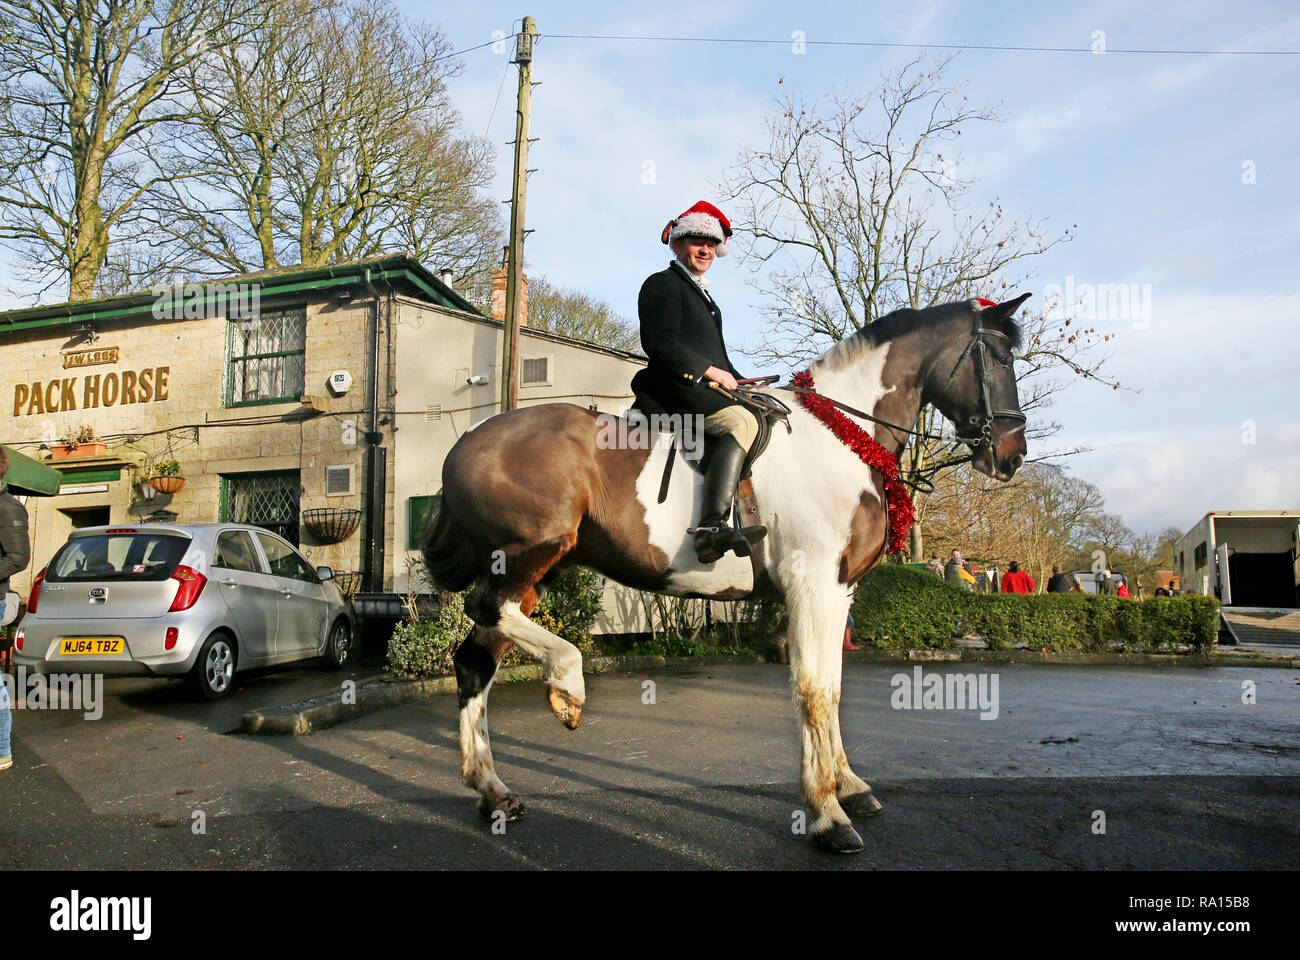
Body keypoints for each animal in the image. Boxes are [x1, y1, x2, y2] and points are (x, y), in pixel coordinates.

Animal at [422, 294, 1031, 853]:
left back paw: (493, 791)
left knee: (476, 659)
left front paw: (849, 787)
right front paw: (827, 813)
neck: (842, 433)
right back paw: (567, 687)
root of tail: (468, 440)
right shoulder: (813, 585)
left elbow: (832, 687)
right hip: (530, 552)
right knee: (488, 611)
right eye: (1001, 358)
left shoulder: (841, 590)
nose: (1012, 456)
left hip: (535, 572)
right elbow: (813, 689)